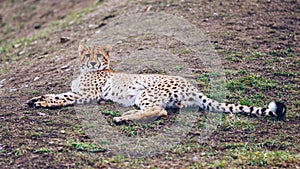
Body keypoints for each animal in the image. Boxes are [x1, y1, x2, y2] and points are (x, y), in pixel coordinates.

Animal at [27, 44, 288, 121]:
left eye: (98, 55)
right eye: (87, 55)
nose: (92, 63)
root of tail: (190, 84)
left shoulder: (87, 95)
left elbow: (61, 99)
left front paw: (43, 103)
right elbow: (56, 94)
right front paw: (36, 99)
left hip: (145, 93)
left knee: (158, 111)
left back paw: (123, 118)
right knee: (166, 109)